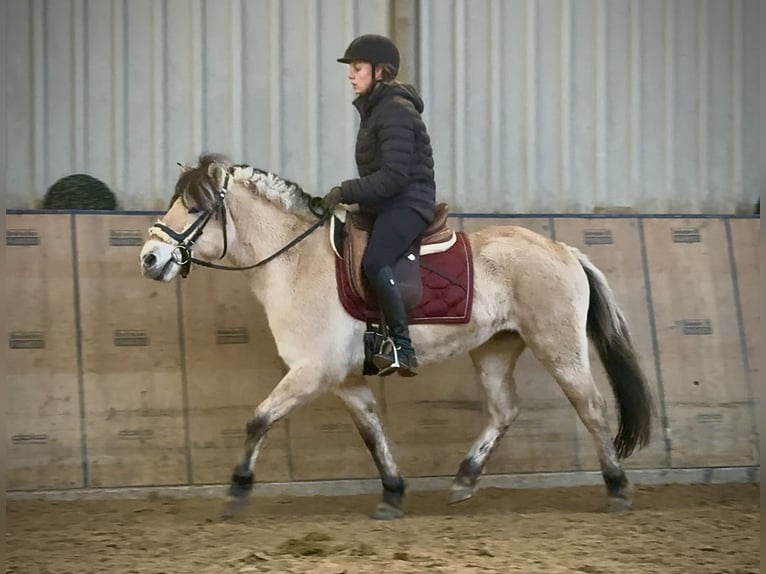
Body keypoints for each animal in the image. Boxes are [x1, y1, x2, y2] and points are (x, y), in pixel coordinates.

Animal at [139, 153, 654, 520]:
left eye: (195, 207)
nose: (149, 258)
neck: (296, 261)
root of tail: (561, 249)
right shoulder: (344, 378)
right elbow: (372, 432)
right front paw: (392, 493)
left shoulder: (312, 371)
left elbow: (258, 420)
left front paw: (236, 490)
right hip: (494, 349)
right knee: (504, 410)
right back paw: (464, 481)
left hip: (558, 346)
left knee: (591, 408)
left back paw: (617, 488)